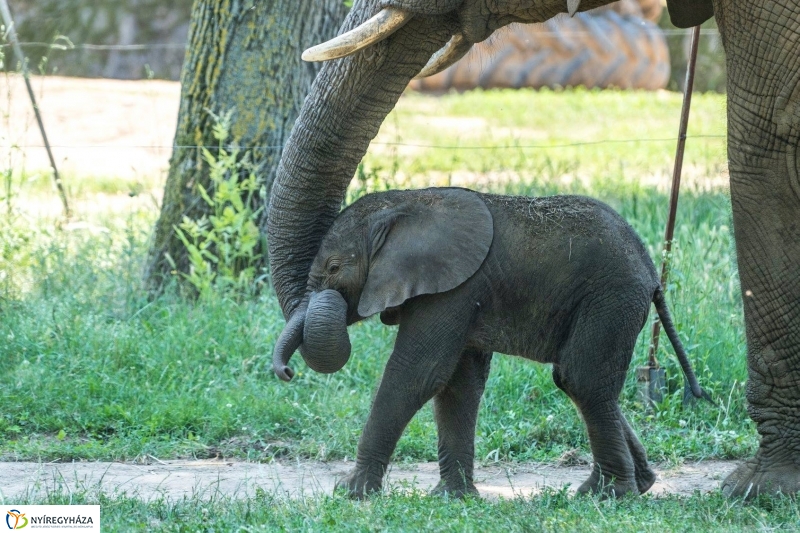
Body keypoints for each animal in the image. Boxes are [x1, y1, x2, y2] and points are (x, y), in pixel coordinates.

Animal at [274, 187, 708, 498]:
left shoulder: (453, 290)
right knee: (578, 381)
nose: (286, 371)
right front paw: (451, 498)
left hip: (609, 298)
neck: (403, 203)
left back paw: (606, 495)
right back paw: (637, 485)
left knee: (582, 381)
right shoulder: (460, 293)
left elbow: (417, 374)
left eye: (334, 268)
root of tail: (651, 271)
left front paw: (350, 492)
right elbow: (458, 385)